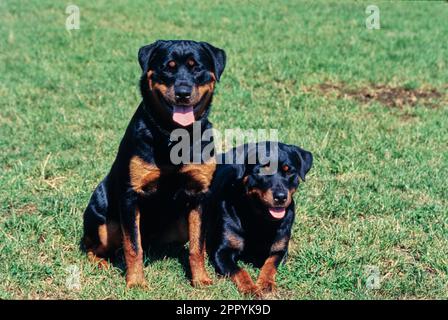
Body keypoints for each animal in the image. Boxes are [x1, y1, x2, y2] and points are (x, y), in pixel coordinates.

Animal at [82, 39, 226, 288]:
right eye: (168, 67)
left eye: (196, 68)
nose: (183, 93)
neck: (174, 137)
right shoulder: (130, 196)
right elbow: (133, 247)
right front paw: (136, 282)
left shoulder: (200, 195)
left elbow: (197, 246)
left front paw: (200, 279)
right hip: (104, 222)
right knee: (96, 247)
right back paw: (102, 263)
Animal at [206, 141, 312, 296]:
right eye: (262, 170)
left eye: (289, 171)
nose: (281, 197)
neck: (258, 219)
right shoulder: (221, 251)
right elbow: (239, 270)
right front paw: (250, 288)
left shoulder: (280, 250)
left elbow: (270, 265)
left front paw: (266, 283)